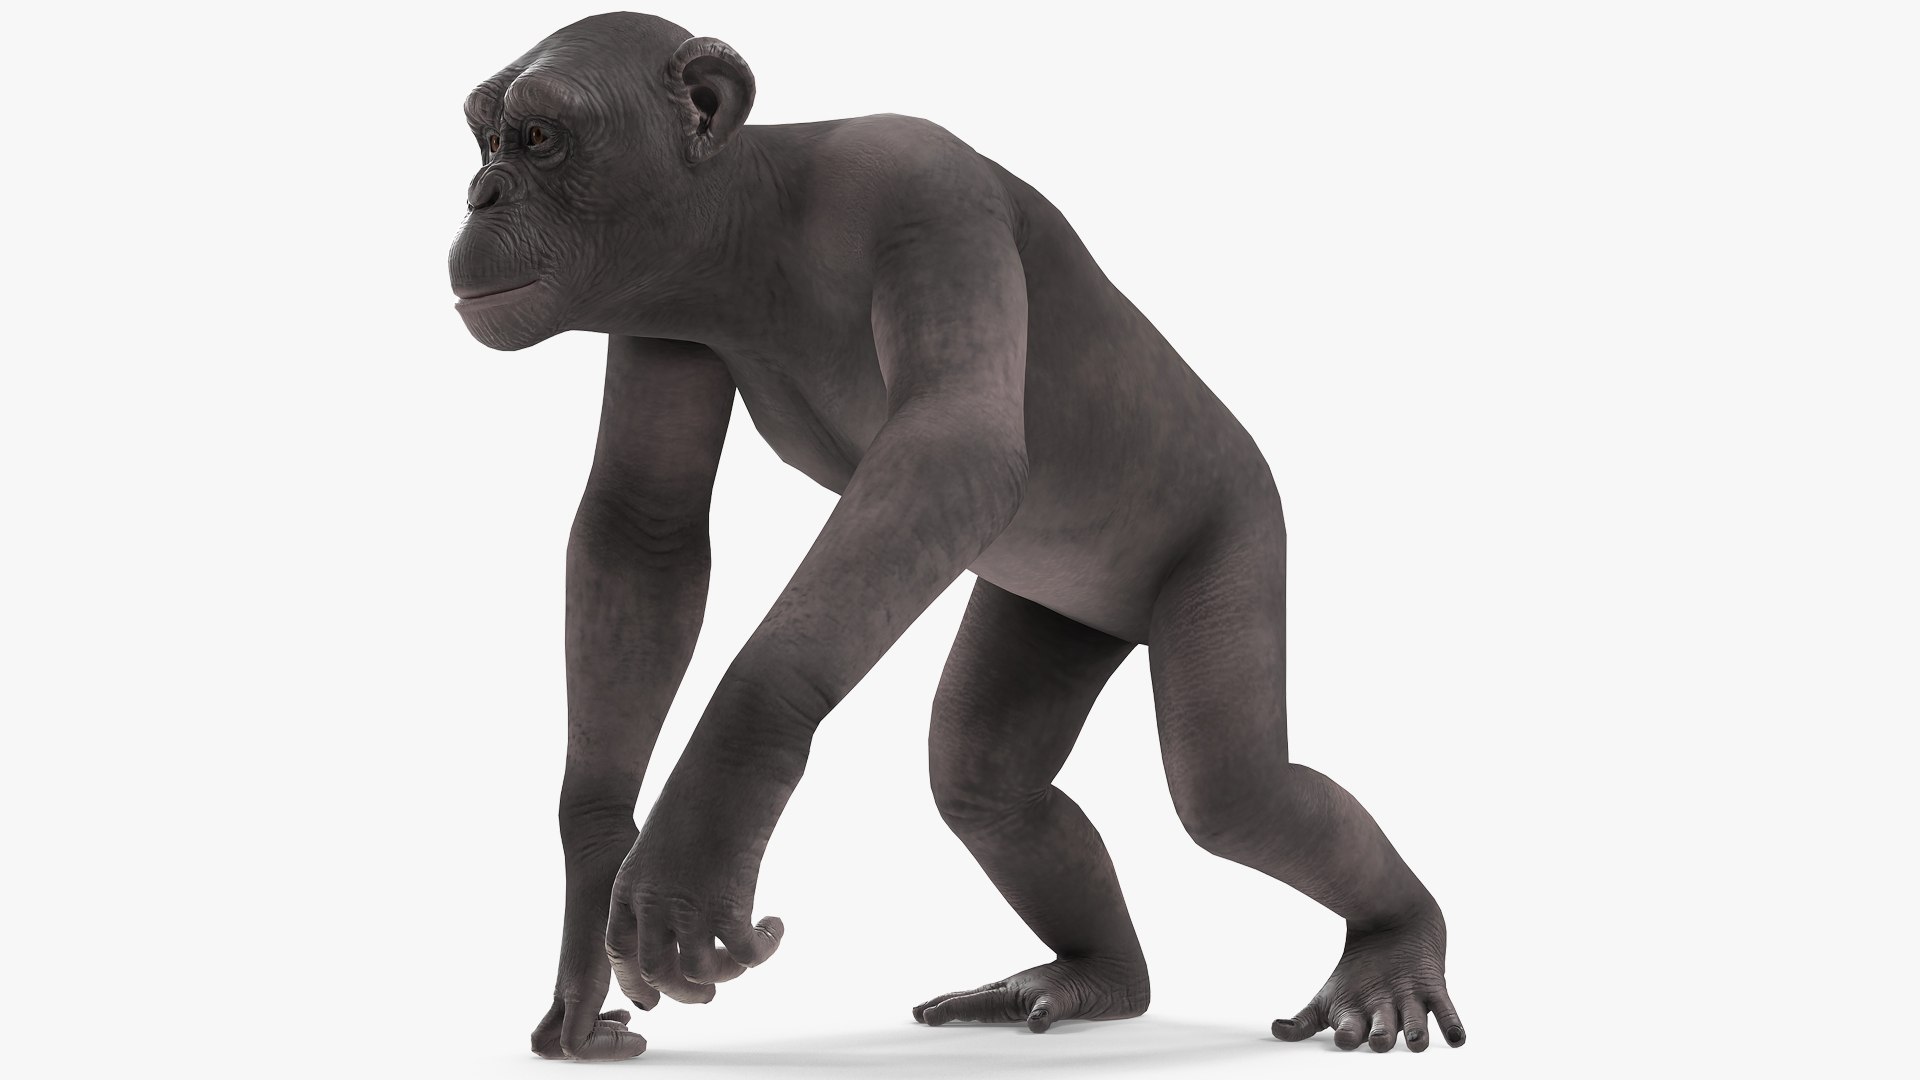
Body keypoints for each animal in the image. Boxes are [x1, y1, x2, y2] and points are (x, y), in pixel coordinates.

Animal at [448, 11, 1466, 1062]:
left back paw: (1394, 948)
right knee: (986, 778)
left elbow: (956, 443)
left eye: (538, 138)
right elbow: (643, 531)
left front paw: (708, 817)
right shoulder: (659, 322)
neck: (748, 235)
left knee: (1233, 792)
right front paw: (592, 895)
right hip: (1057, 610)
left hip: (1236, 533)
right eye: (484, 139)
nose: (479, 193)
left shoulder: (921, 184)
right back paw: (1093, 975)